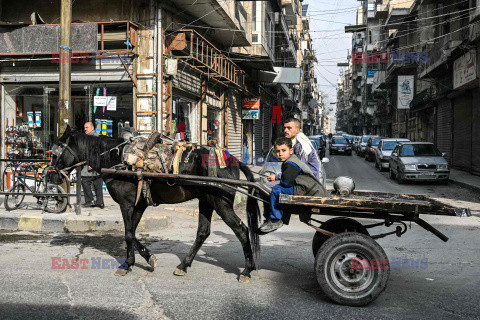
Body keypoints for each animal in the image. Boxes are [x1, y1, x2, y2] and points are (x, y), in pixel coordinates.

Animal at [53, 126, 260, 282]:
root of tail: (234, 160)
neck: (117, 160)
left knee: (242, 230)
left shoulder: (126, 204)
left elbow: (128, 234)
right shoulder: (138, 205)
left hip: (220, 203)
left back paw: (247, 270)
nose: (52, 174)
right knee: (203, 232)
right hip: (207, 201)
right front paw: (144, 258)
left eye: (56, 152)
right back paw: (183, 265)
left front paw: (128, 264)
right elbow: (132, 233)